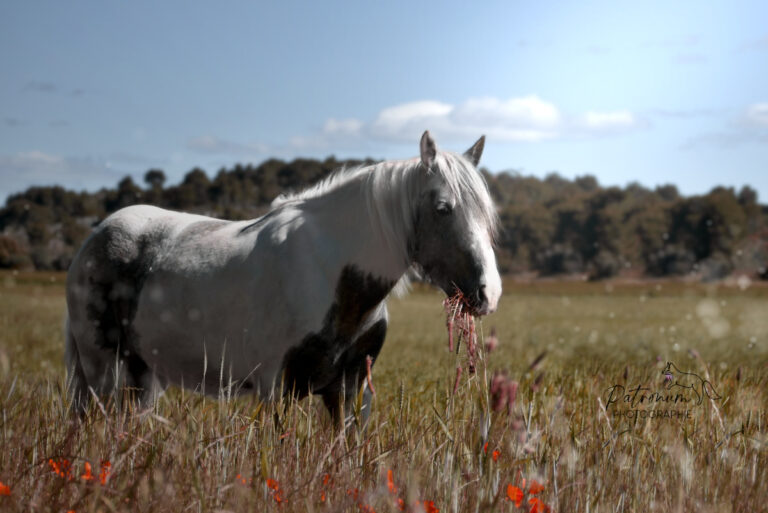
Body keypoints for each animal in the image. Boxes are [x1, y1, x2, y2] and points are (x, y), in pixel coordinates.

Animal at [63, 131, 500, 420]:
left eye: (486, 213)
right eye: (443, 208)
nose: (489, 293)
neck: (331, 274)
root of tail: (97, 235)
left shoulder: (349, 391)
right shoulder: (279, 389)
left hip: (141, 374)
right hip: (101, 370)